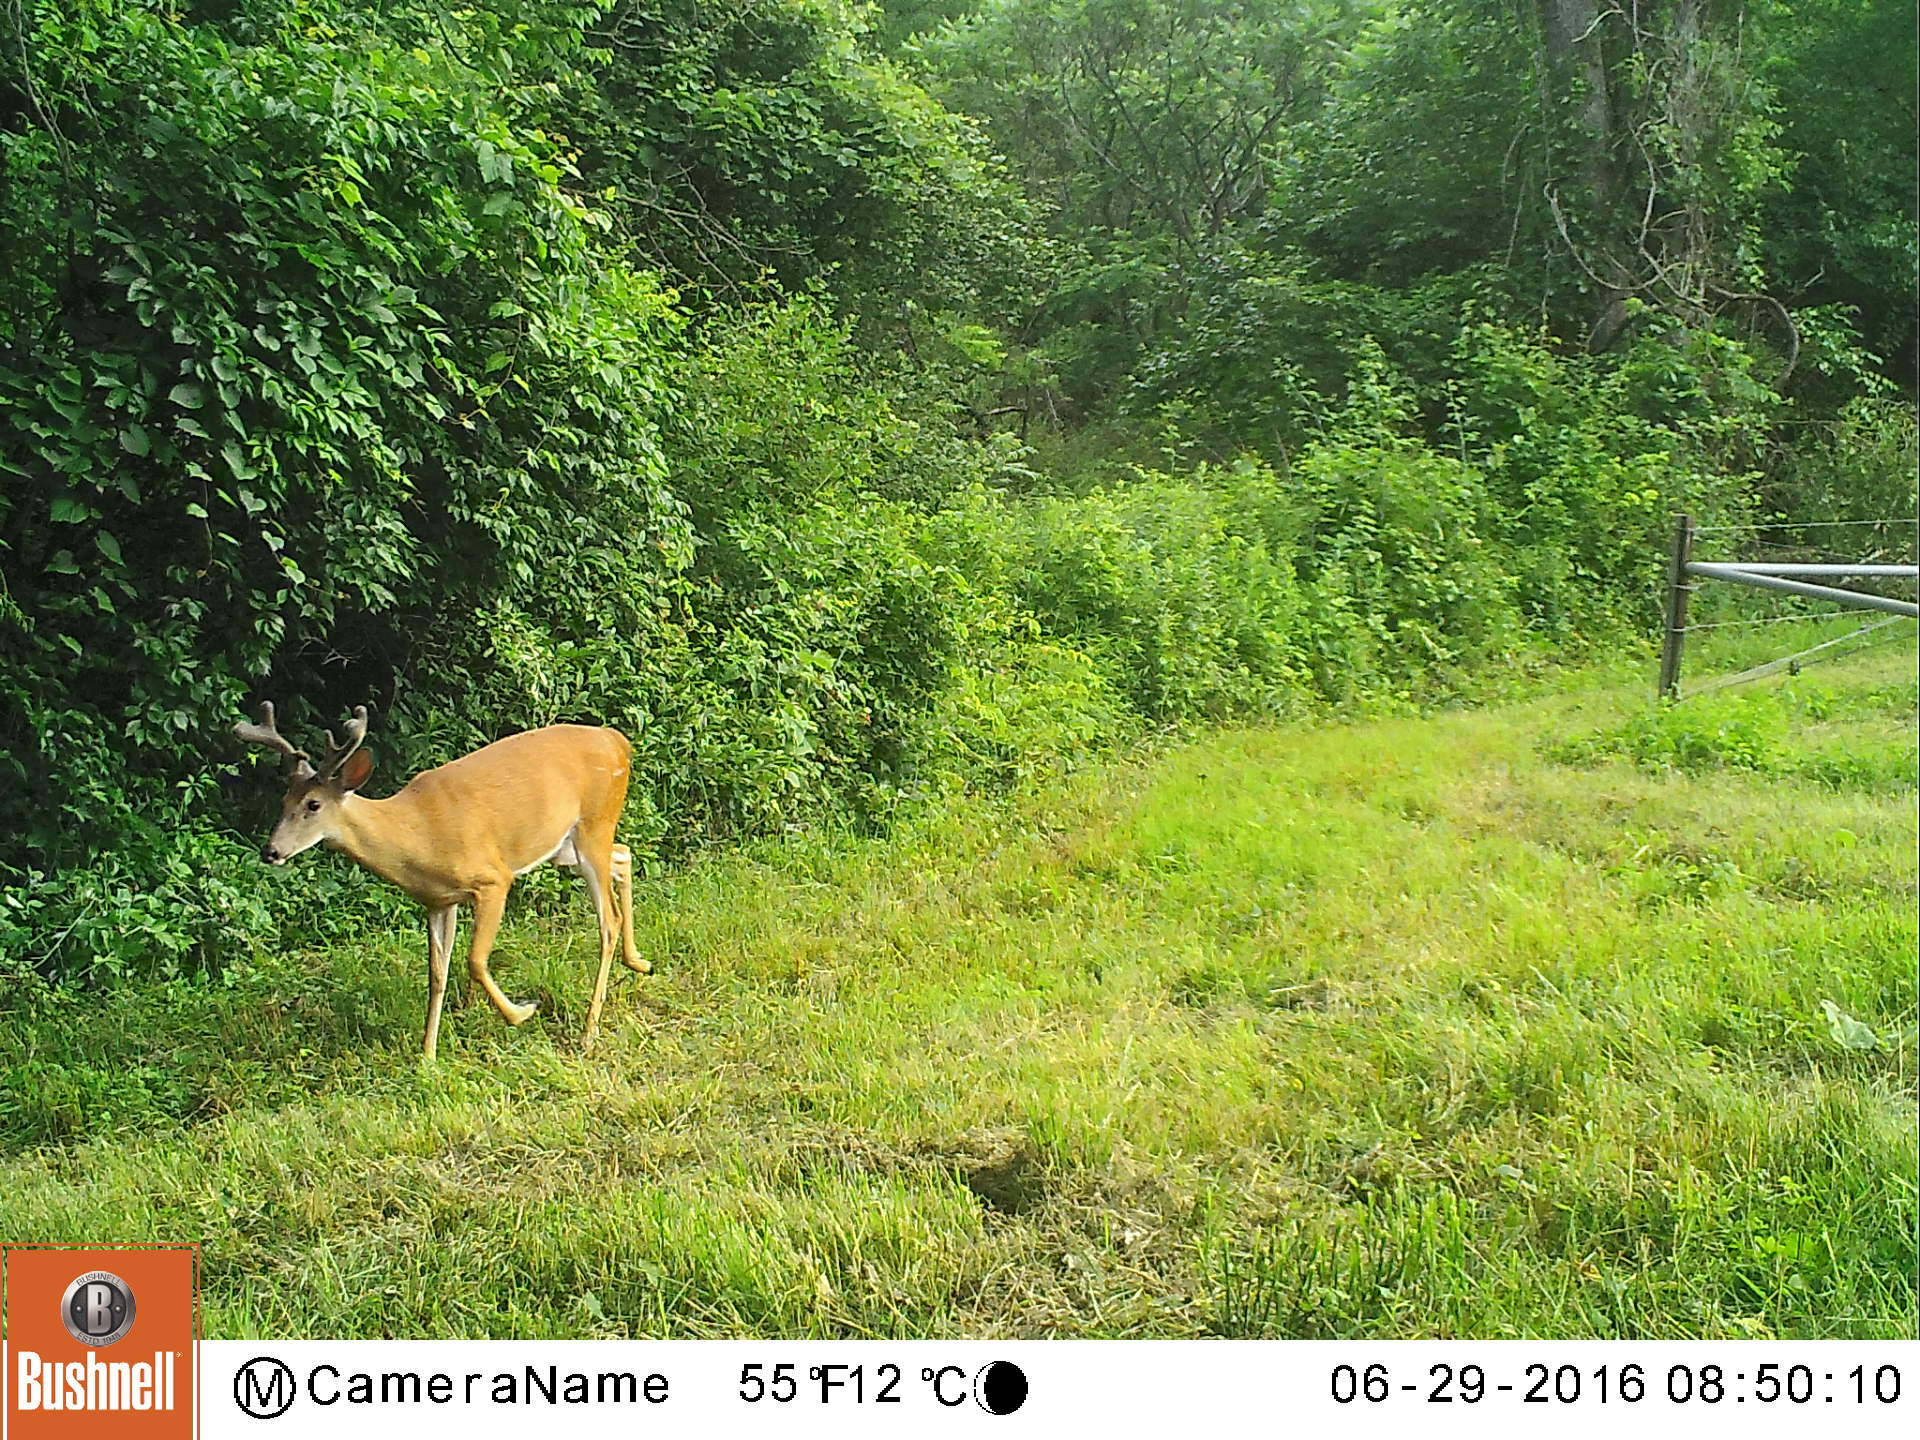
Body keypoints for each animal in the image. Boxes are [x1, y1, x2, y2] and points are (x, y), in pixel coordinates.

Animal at [230, 706, 652, 1067]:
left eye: (313, 804)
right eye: (284, 799)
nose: (271, 851)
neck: (419, 836)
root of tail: (618, 740)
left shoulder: (493, 878)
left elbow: (475, 960)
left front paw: (522, 1012)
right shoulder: (437, 901)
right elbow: (437, 974)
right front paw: (428, 1055)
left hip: (595, 822)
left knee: (609, 920)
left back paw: (589, 1031)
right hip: (565, 847)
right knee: (624, 856)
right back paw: (639, 961)